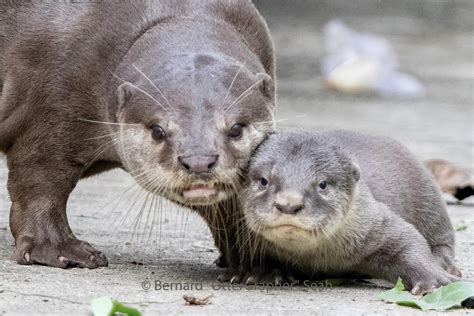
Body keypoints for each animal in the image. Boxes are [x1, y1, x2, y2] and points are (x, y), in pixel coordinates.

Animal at [0, 0, 276, 270]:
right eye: (158, 131)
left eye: (236, 128)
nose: (198, 161)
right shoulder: (54, 99)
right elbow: (40, 180)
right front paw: (59, 250)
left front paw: (258, 263)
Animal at [239, 130, 462, 296]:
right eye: (264, 180)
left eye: (322, 184)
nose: (288, 204)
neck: (317, 257)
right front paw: (264, 272)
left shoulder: (374, 222)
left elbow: (408, 240)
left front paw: (435, 281)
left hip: (429, 198)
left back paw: (445, 263)